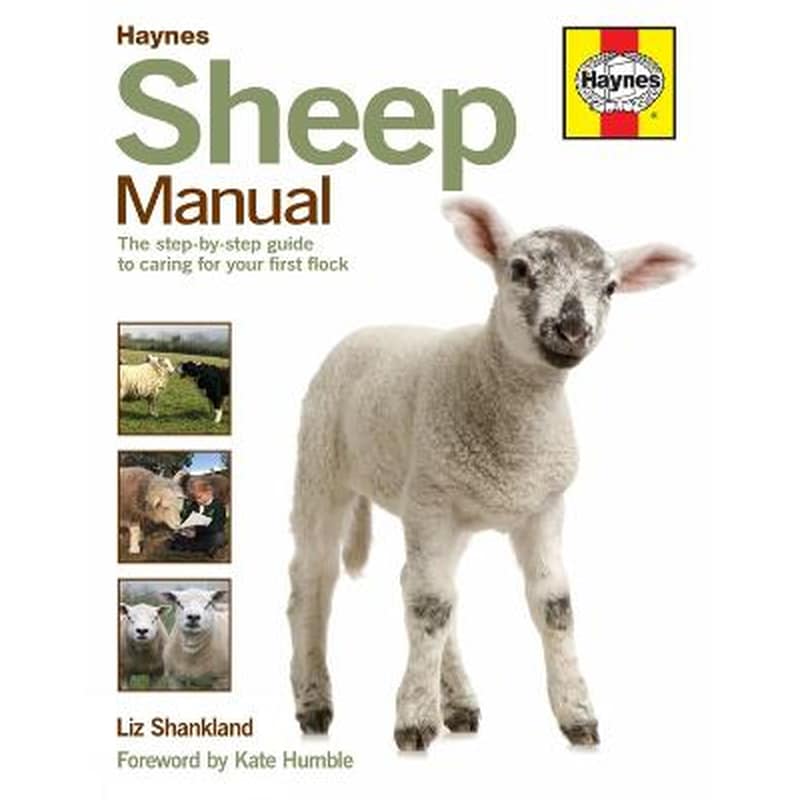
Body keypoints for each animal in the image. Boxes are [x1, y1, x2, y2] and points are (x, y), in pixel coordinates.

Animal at [287, 197, 693, 751]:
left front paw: (578, 715)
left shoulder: (543, 506)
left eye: (610, 287)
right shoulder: (431, 500)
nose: (572, 330)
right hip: (322, 467)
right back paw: (314, 702)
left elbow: (552, 605)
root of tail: (367, 330)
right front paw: (414, 719)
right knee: (314, 579)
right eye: (519, 269)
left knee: (421, 585)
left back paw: (458, 702)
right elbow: (430, 605)